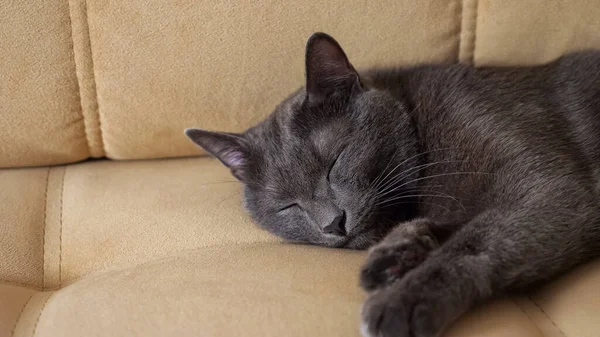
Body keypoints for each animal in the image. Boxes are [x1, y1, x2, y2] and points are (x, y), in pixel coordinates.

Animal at [184, 32, 600, 336]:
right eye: (288, 206)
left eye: (336, 162)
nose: (333, 224)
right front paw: (393, 256)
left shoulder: (553, 190)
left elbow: (477, 240)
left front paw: (400, 302)